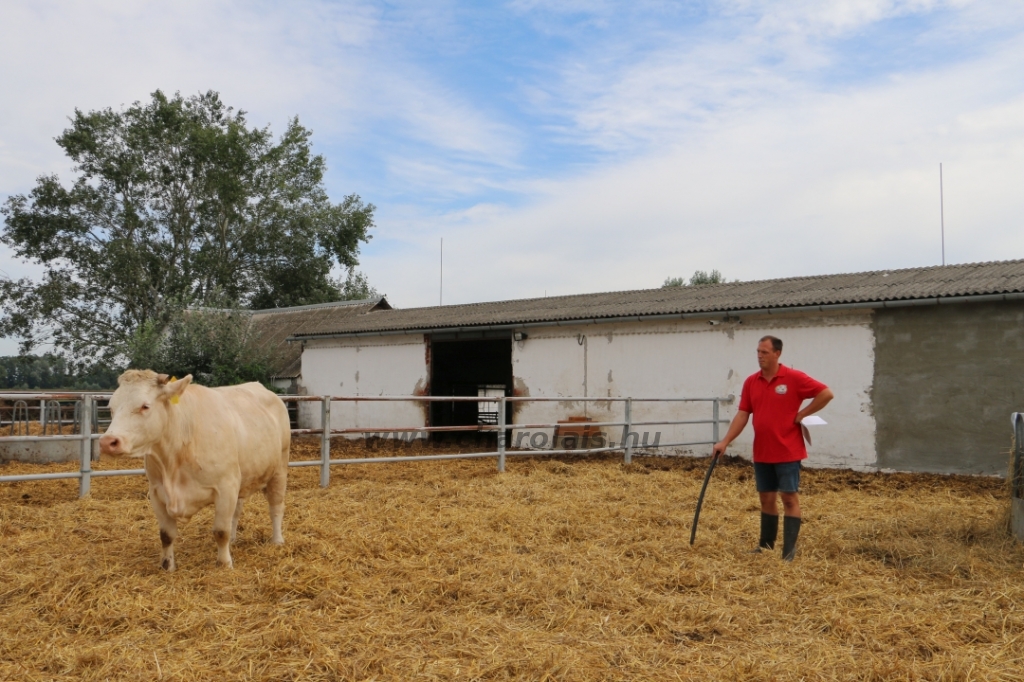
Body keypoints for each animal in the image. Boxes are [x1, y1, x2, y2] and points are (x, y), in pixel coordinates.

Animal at [99, 368, 290, 565]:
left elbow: (221, 531)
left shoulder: (226, 487)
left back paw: (277, 540)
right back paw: (234, 540)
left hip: (280, 468)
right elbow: (166, 535)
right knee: (237, 511)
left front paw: (224, 564)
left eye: (145, 406)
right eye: (111, 407)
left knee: (276, 506)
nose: (107, 442)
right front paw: (167, 565)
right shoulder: (156, 492)